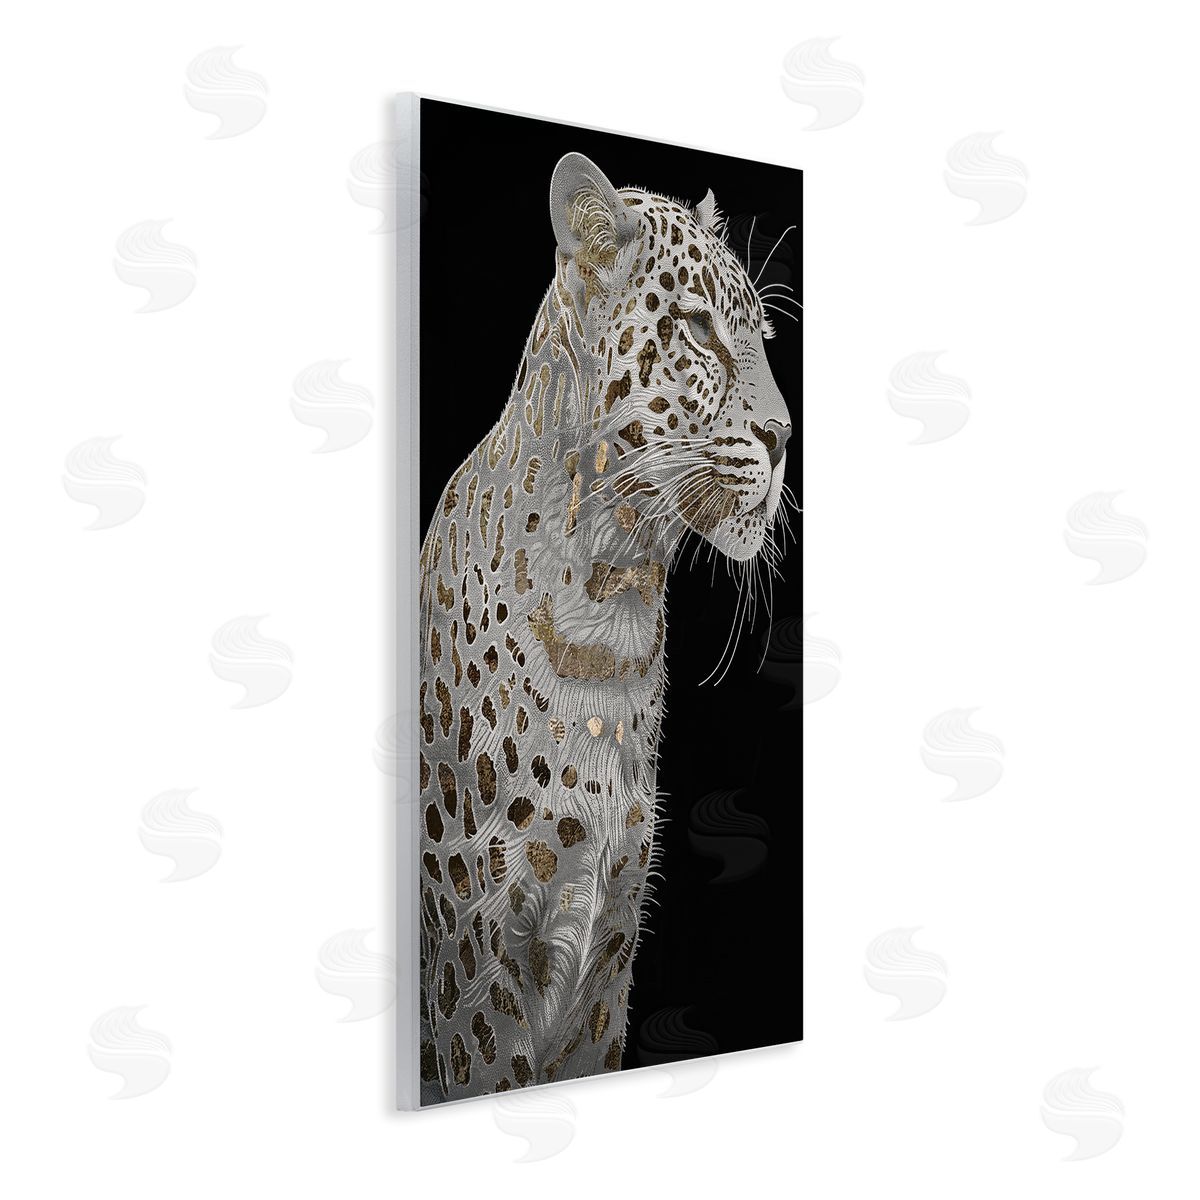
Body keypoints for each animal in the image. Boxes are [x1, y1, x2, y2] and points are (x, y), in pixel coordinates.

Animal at [417, 152, 793, 1102]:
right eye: (698, 328)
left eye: (762, 335)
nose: (784, 437)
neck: (612, 604)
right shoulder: (476, 963)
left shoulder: (611, 944)